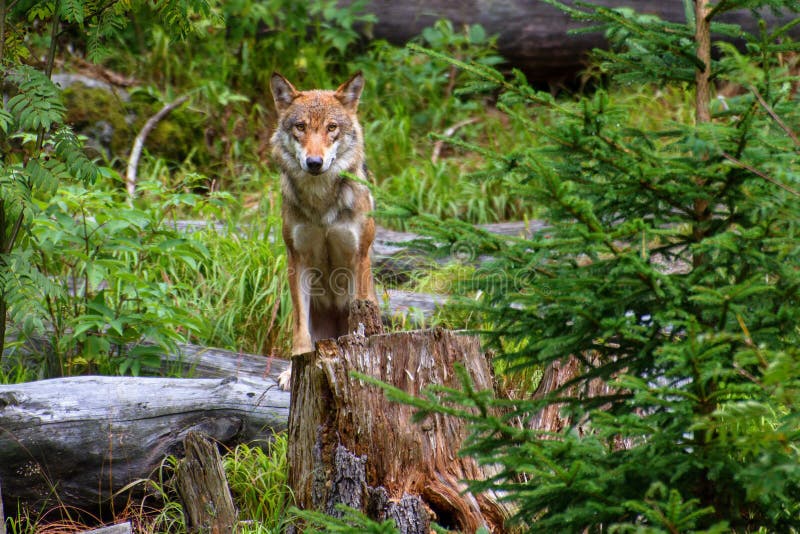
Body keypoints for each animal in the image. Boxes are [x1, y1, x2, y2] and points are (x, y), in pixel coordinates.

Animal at [272, 71, 378, 390]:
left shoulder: (358, 257)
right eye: (301, 127)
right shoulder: (297, 259)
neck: (321, 205)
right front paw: (296, 367)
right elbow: (300, 329)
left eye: (332, 128)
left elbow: (359, 324)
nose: (314, 162)